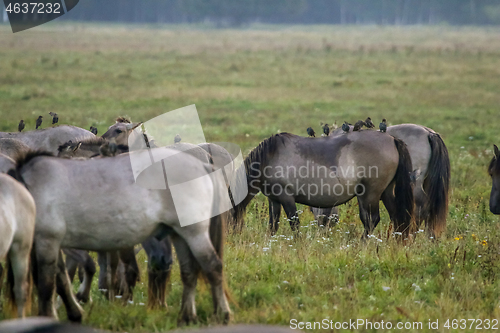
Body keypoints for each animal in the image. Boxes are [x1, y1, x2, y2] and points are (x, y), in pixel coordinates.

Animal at [11, 147, 230, 322]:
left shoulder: (47, 241)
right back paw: (187, 317)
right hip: (179, 235)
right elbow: (61, 280)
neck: (29, 190)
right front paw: (74, 313)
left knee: (213, 267)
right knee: (189, 272)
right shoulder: (52, 245)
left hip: (194, 234)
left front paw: (48, 316)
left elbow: (47, 285)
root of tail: (203, 165)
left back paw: (222, 314)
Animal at [234, 131, 414, 237]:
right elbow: (273, 225)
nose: (230, 239)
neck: (270, 158)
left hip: (370, 194)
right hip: (386, 193)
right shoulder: (274, 200)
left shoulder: (286, 198)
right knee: (396, 218)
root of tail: (392, 139)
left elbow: (294, 224)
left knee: (371, 220)